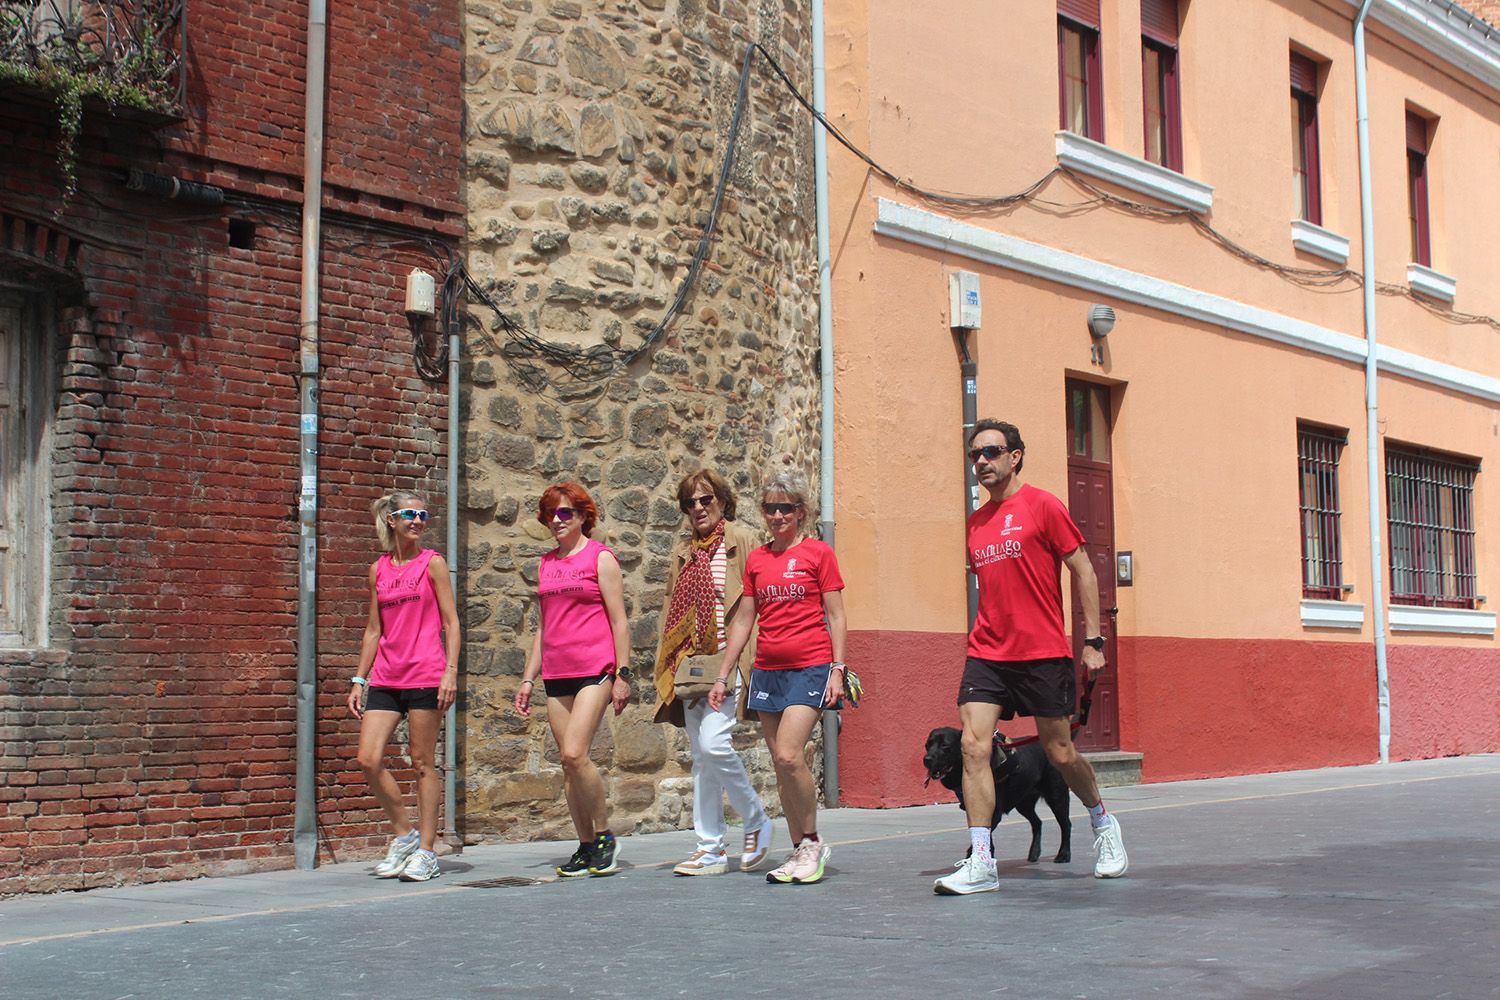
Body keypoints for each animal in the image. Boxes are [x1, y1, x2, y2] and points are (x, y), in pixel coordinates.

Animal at [918, 722, 1074, 863]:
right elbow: (984, 835)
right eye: (927, 745)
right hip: (1024, 803)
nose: (926, 759)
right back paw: (1034, 853)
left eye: (945, 745)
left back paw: (1064, 854)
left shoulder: (994, 812)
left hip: (1057, 797)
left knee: (1066, 825)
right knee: (1037, 823)